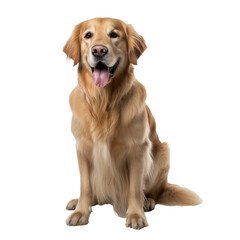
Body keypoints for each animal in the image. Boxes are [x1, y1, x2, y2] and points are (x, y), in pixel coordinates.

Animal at [62, 17, 202, 229]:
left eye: (114, 34)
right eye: (88, 35)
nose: (99, 50)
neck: (103, 102)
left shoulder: (137, 150)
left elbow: (134, 189)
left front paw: (135, 215)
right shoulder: (83, 148)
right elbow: (85, 186)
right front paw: (81, 212)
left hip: (163, 153)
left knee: (155, 191)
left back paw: (148, 201)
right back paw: (78, 202)